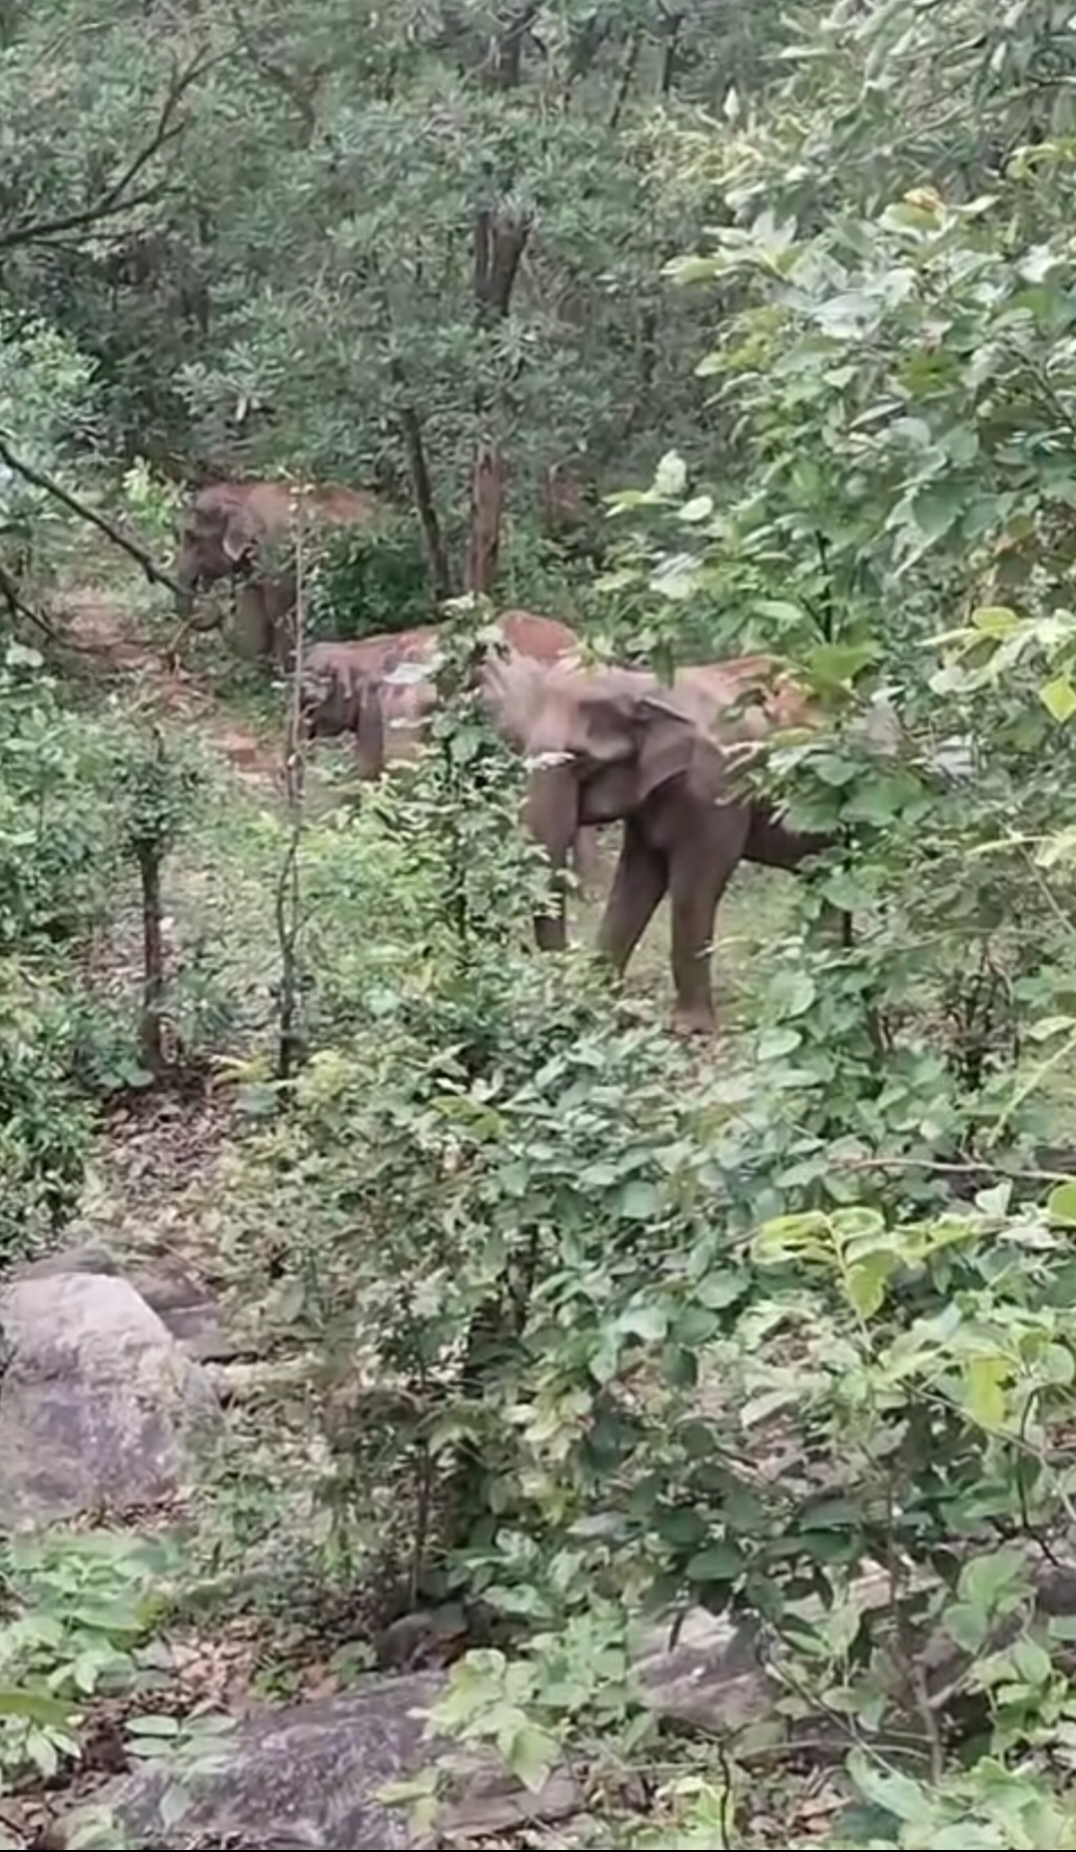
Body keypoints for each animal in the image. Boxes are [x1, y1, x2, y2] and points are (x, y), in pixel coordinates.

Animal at [172, 478, 387, 665]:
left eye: (192, 537)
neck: (243, 492)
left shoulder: (278, 556)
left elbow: (281, 615)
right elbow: (256, 622)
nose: (220, 614)